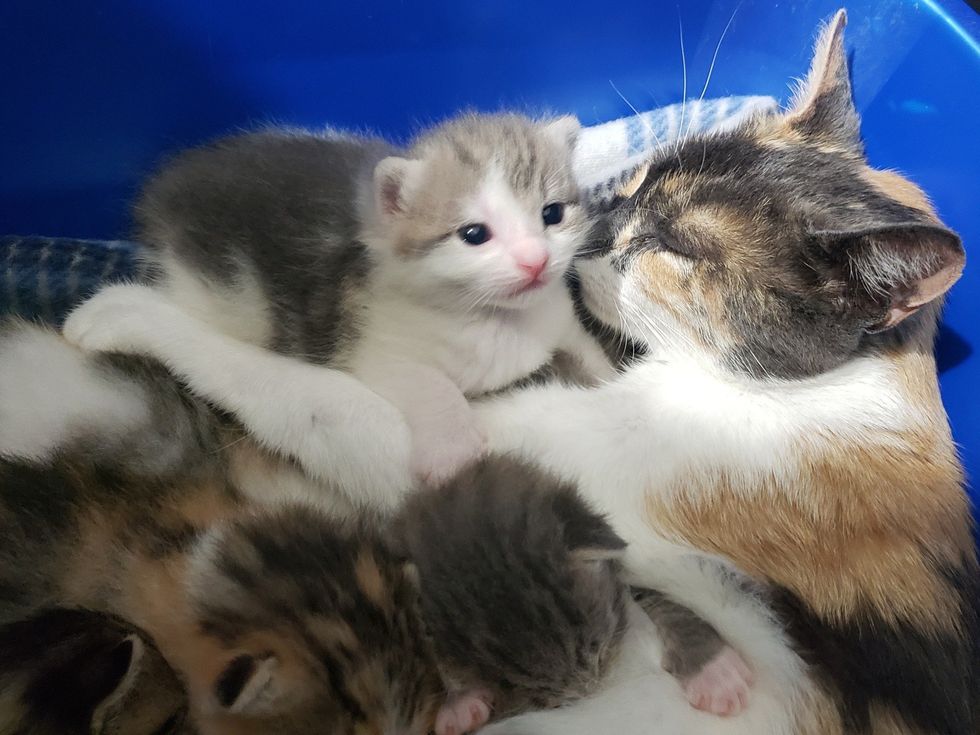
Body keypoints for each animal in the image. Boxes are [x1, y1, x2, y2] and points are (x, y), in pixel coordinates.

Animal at [63, 112, 604, 512]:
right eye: (474, 234)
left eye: (552, 214)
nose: (535, 261)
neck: (499, 319)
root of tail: (166, 187)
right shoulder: (377, 347)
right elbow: (430, 385)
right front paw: (455, 455)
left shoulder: (561, 322)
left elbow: (589, 353)